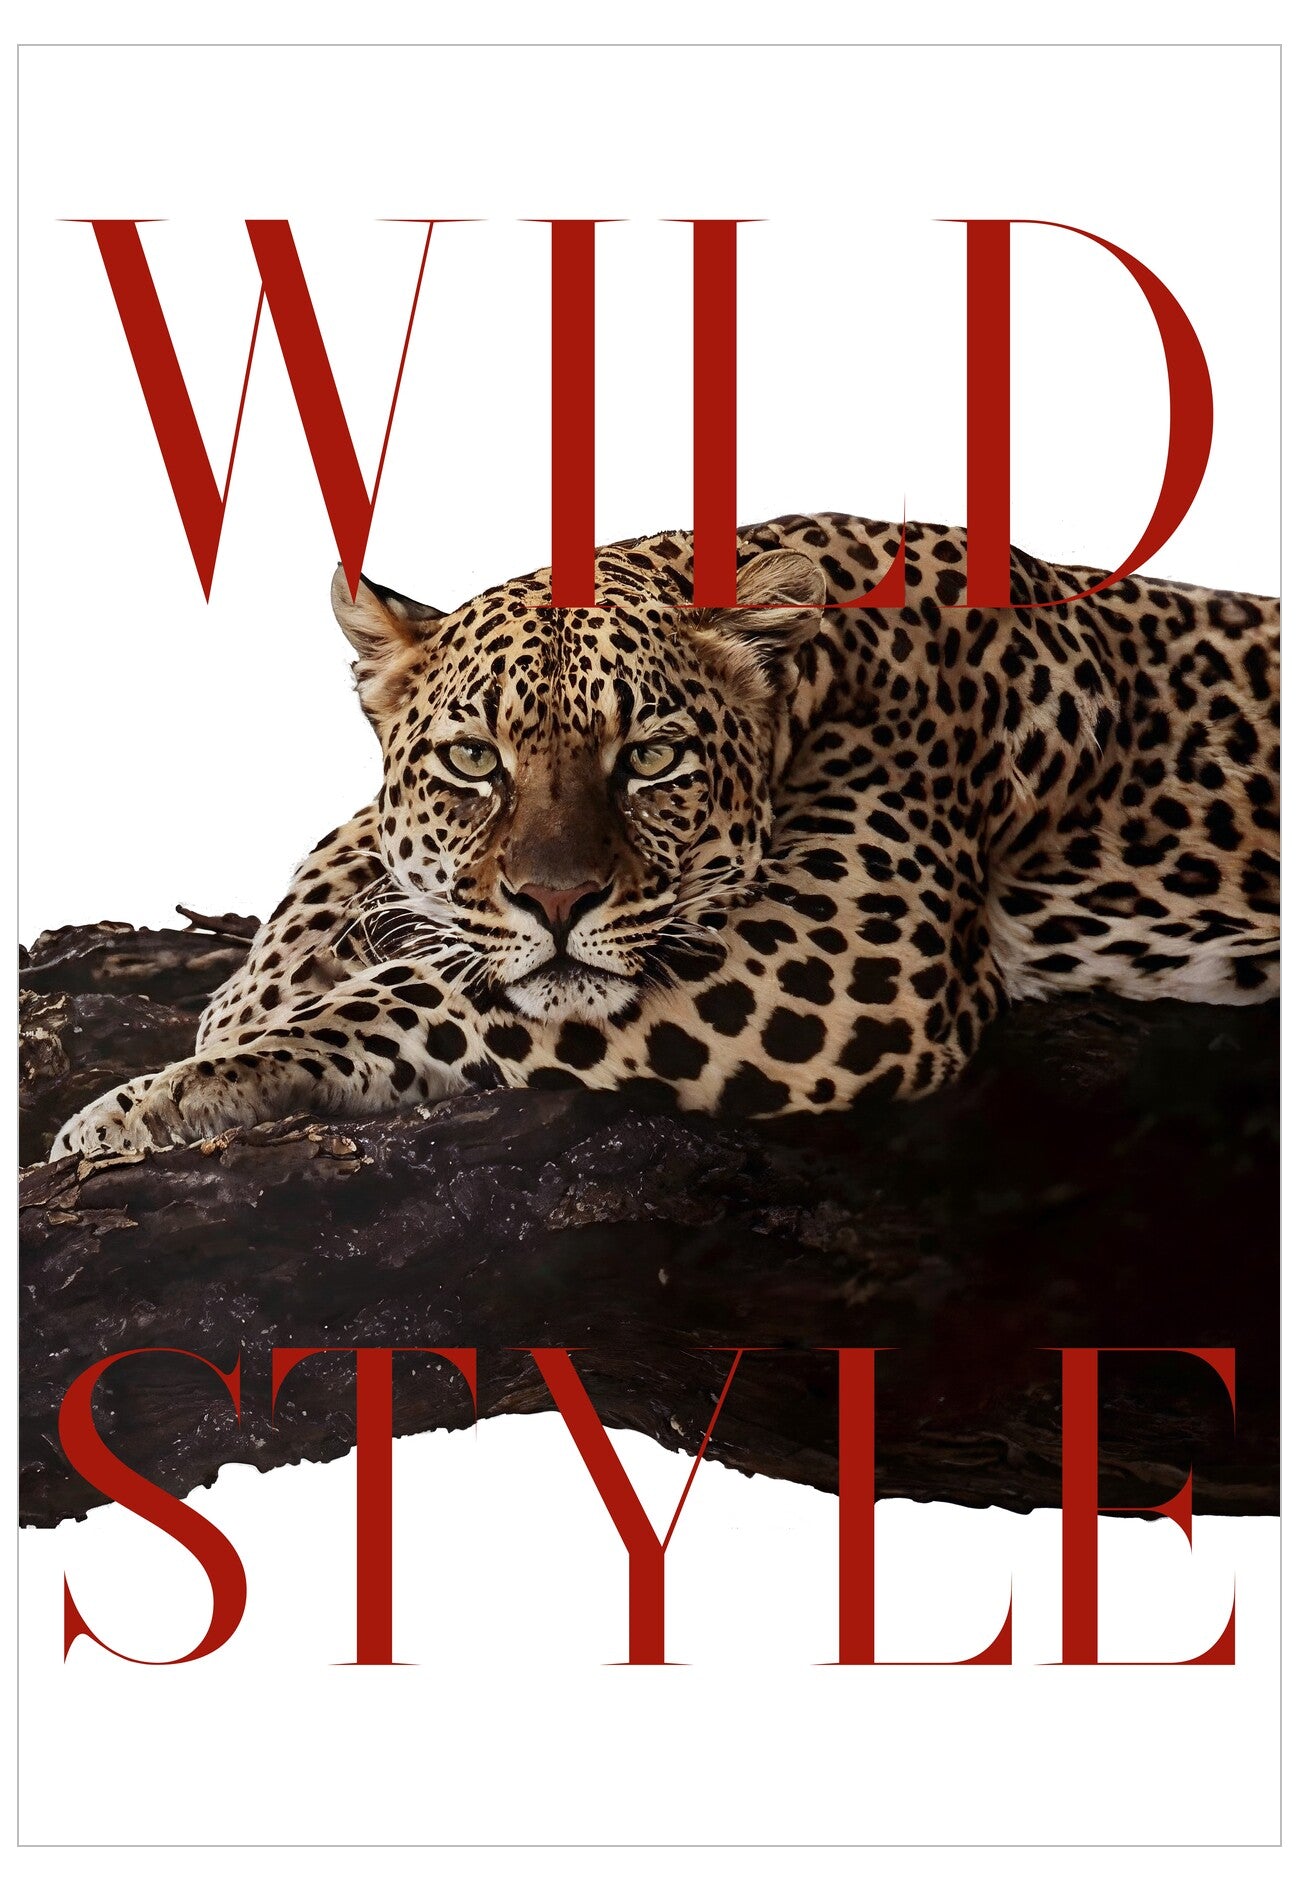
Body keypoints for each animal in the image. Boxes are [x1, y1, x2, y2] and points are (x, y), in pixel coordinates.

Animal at [50, 513, 1280, 1158]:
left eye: (648, 757)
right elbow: (354, 846)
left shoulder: (849, 957)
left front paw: (161, 1097)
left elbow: (432, 993)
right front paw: (249, 992)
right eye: (474, 760)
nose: (555, 901)